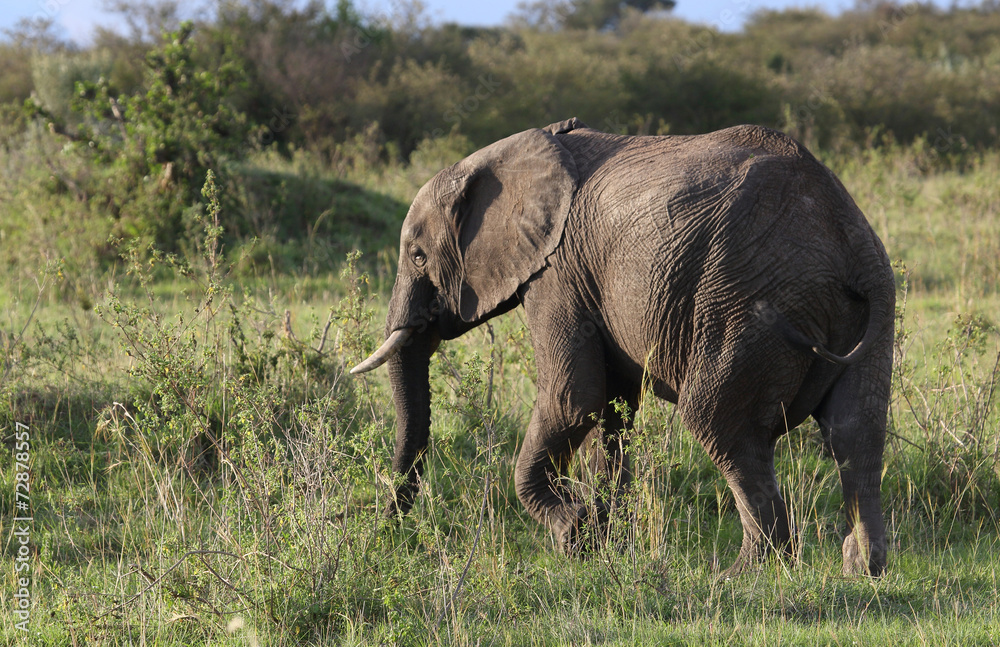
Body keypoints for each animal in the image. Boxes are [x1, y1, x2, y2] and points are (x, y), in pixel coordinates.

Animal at [354, 116, 900, 576]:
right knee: (855, 430)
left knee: (720, 422)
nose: (387, 529)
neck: (508, 154)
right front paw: (603, 541)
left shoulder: (558, 273)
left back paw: (744, 573)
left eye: (418, 256)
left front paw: (573, 533)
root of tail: (846, 242)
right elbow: (614, 409)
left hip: (745, 303)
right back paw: (861, 569)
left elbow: (574, 399)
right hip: (873, 304)